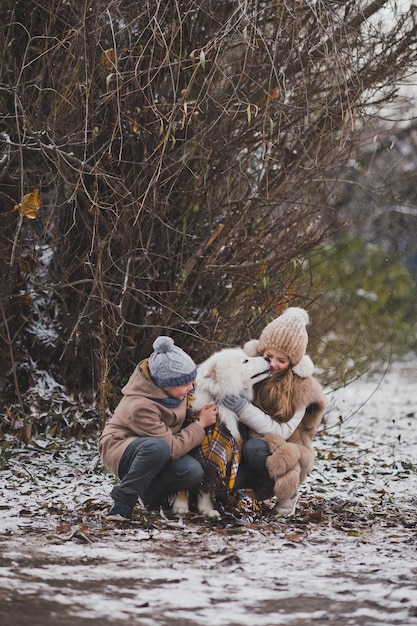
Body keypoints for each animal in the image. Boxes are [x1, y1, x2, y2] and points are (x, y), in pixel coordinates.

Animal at [171, 346, 272, 516]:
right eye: (245, 361)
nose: (268, 358)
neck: (216, 396)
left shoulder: (215, 452)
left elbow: (207, 482)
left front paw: (206, 509)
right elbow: (184, 485)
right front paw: (180, 507)